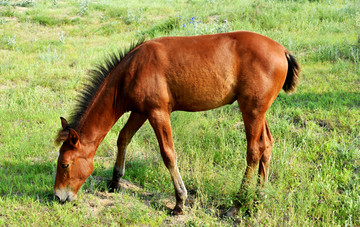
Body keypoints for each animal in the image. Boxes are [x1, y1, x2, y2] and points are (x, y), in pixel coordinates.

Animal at [54, 31, 300, 215]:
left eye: (64, 164)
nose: (58, 197)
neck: (133, 69)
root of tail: (282, 50)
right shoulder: (140, 112)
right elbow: (123, 137)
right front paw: (115, 181)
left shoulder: (158, 113)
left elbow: (168, 153)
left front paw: (180, 201)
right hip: (259, 111)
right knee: (267, 145)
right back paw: (258, 199)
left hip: (251, 110)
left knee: (254, 150)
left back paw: (237, 204)